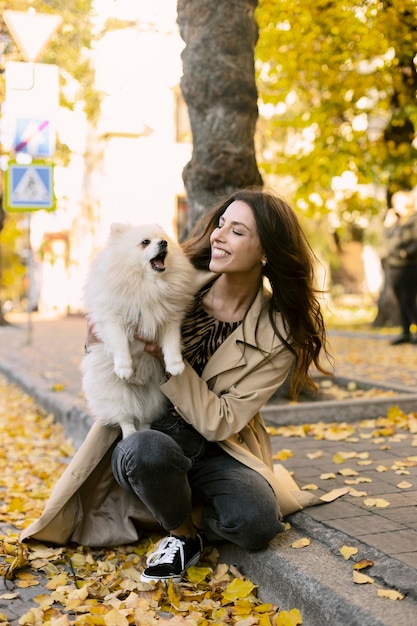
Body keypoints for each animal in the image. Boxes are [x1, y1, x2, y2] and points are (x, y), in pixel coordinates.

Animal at [83, 222, 197, 436]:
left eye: (164, 240)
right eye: (145, 242)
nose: (163, 243)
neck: (149, 284)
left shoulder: (170, 319)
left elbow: (171, 343)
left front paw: (176, 365)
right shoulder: (114, 319)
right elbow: (120, 344)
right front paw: (124, 368)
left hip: (154, 397)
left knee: (144, 419)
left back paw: (143, 431)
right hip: (117, 394)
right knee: (125, 417)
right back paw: (130, 434)